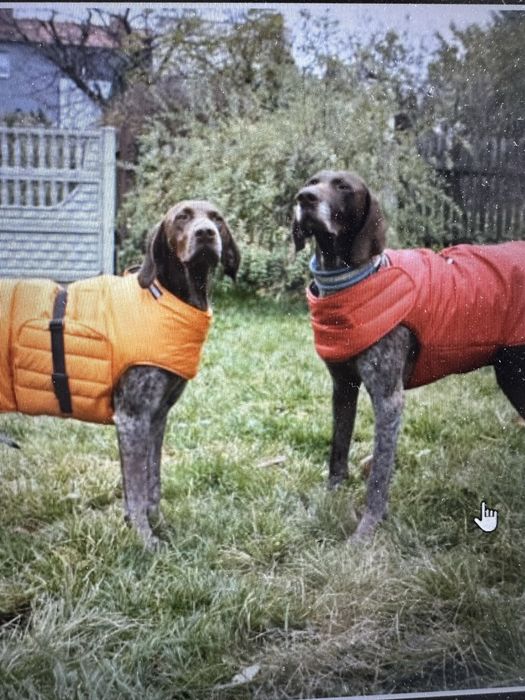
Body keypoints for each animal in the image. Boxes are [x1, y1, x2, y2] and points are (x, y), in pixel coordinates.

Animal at [0, 200, 240, 547]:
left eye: (217, 218)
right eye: (182, 217)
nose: (206, 233)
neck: (166, 298)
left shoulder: (156, 418)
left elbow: (151, 483)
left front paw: (156, 525)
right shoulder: (132, 419)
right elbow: (137, 489)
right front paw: (145, 539)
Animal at [292, 170, 525, 539]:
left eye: (343, 186)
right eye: (312, 181)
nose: (305, 198)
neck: (351, 279)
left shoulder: (389, 400)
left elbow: (378, 476)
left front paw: (366, 532)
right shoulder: (343, 389)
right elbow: (337, 452)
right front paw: (329, 500)